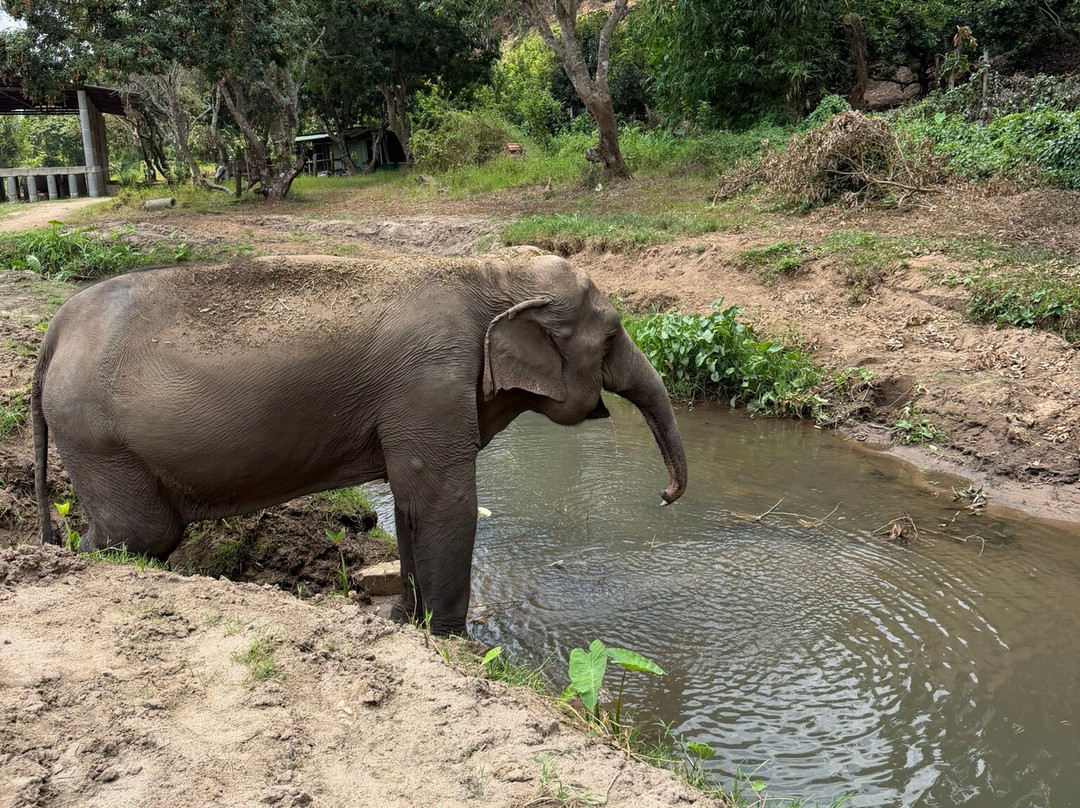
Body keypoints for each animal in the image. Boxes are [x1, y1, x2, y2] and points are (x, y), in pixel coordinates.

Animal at [32, 252, 687, 634]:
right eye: (612, 338)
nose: (665, 495)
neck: (484, 273)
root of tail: (56, 327)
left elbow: (412, 501)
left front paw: (402, 621)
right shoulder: (430, 381)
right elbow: (446, 501)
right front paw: (447, 639)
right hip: (98, 439)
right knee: (139, 534)